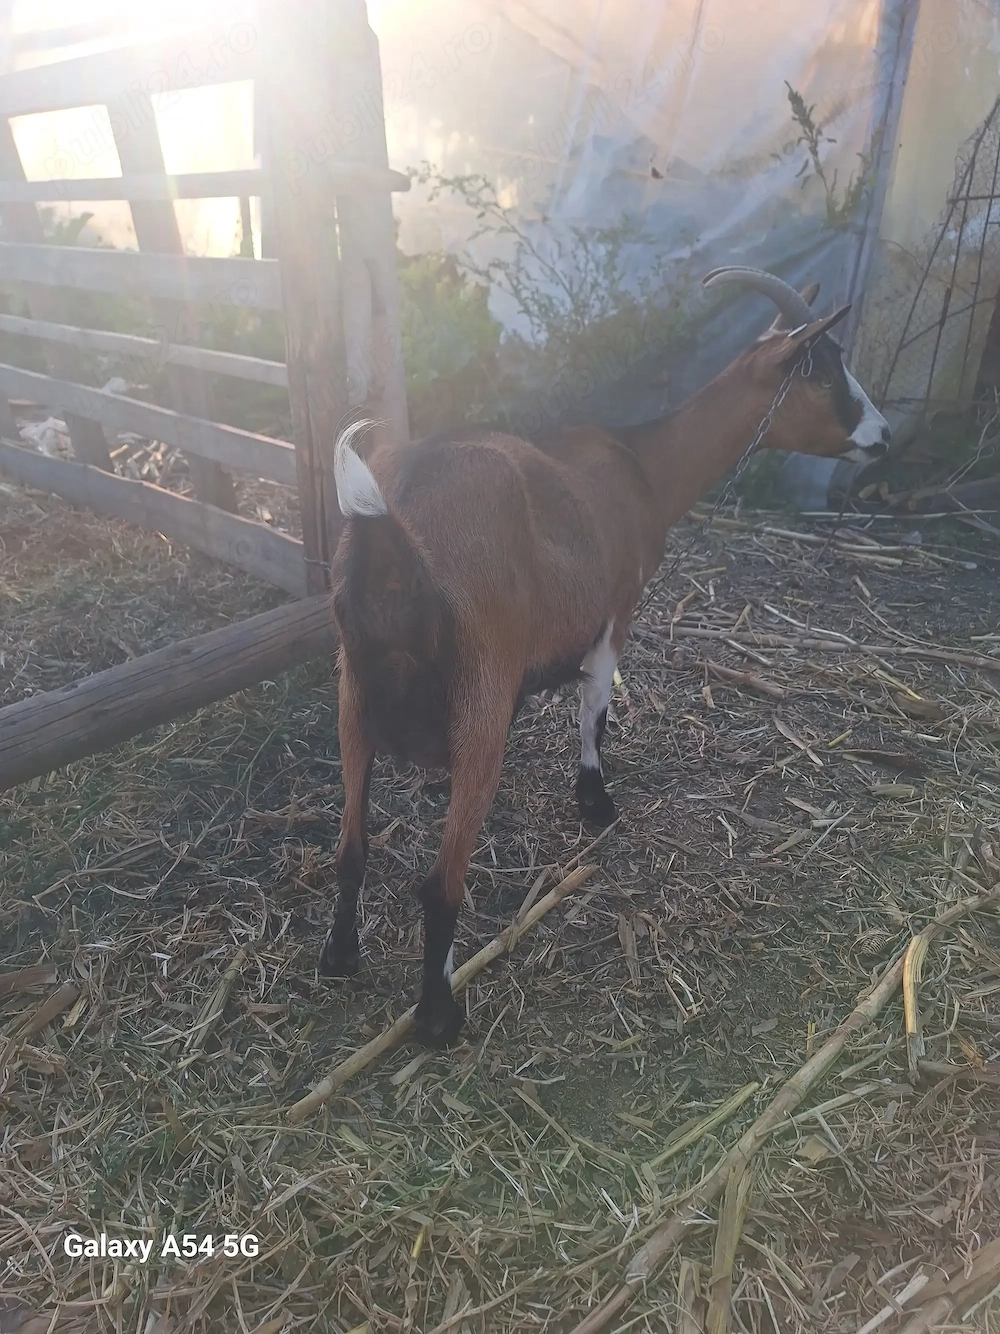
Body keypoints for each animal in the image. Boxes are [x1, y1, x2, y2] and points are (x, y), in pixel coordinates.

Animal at [320, 266, 890, 1048]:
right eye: (826, 370)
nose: (883, 436)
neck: (642, 465)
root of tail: (394, 536)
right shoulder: (620, 603)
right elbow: (595, 704)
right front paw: (596, 801)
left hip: (351, 698)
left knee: (350, 848)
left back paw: (339, 958)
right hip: (480, 702)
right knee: (439, 883)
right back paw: (438, 1015)